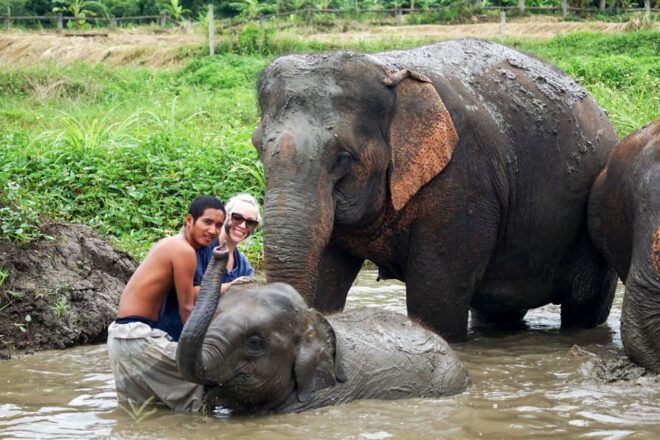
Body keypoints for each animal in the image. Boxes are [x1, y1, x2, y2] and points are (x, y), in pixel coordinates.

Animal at [251, 39, 619, 341]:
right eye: (257, 146)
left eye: (344, 156)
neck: (387, 69)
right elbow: (327, 279)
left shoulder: (464, 181)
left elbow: (436, 300)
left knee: (585, 307)